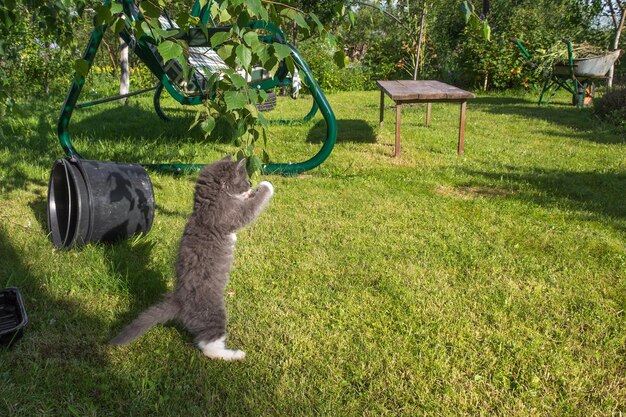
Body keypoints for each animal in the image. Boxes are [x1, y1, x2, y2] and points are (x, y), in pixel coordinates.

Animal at [109, 154, 272, 360]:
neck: (206, 205)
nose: (251, 187)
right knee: (208, 345)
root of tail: (179, 300)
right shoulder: (231, 215)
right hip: (213, 311)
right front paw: (266, 186)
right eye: (246, 181)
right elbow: (252, 208)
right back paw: (234, 354)